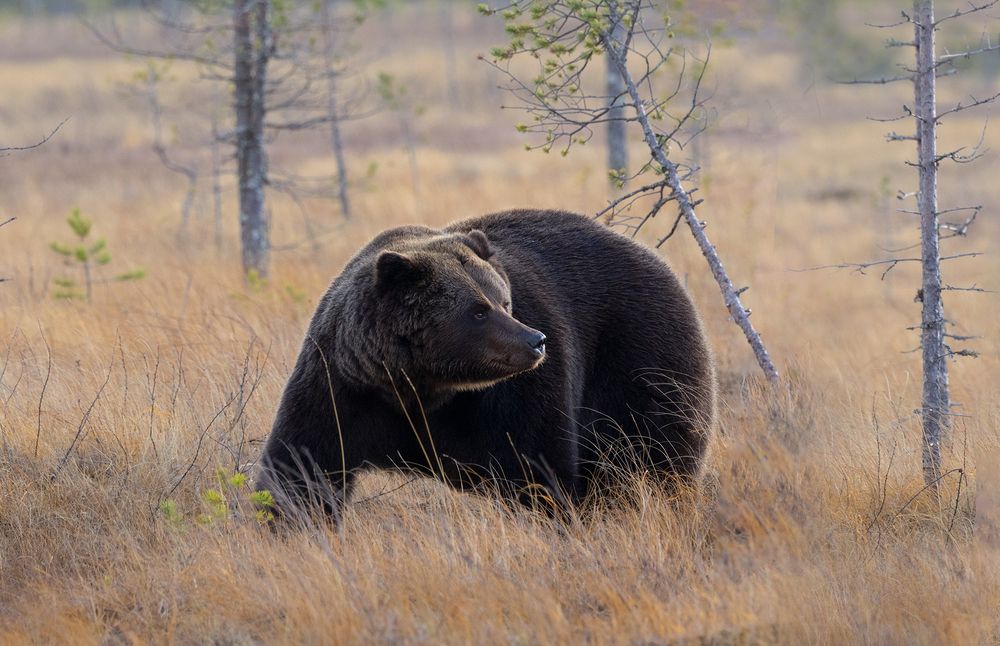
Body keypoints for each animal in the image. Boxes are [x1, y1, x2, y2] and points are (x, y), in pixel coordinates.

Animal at [256, 208, 716, 518]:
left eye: (504, 300)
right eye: (478, 311)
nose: (535, 341)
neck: (422, 387)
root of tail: (657, 260)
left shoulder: (512, 398)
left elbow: (536, 467)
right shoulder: (343, 385)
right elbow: (303, 465)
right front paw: (288, 520)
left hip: (640, 355)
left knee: (645, 453)